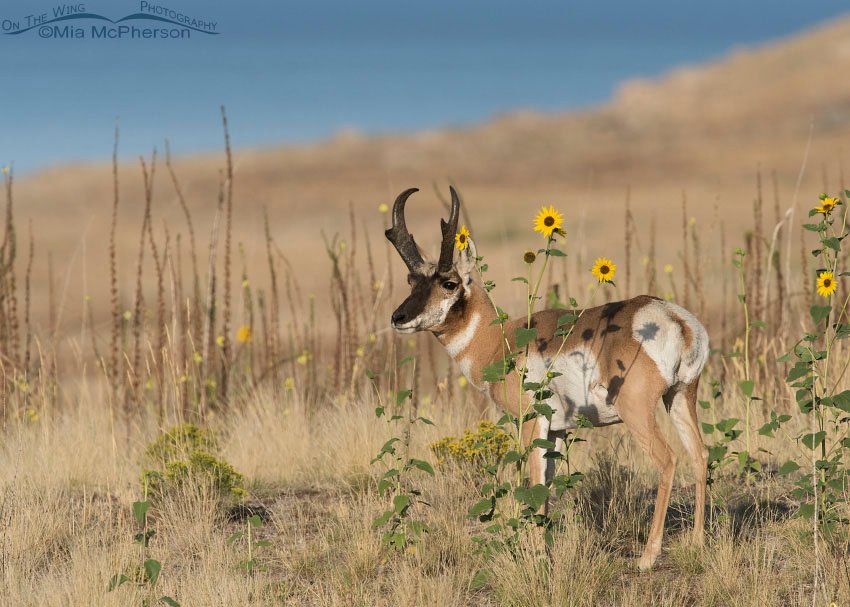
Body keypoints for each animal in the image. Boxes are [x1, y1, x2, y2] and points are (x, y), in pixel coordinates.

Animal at [385, 187, 710, 570]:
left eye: (449, 283)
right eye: (412, 281)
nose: (399, 317)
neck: (498, 341)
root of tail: (674, 317)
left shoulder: (532, 424)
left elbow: (535, 485)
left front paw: (538, 555)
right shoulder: (555, 431)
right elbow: (548, 490)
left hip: (637, 411)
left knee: (668, 459)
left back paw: (647, 557)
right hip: (681, 396)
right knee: (699, 454)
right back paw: (698, 542)